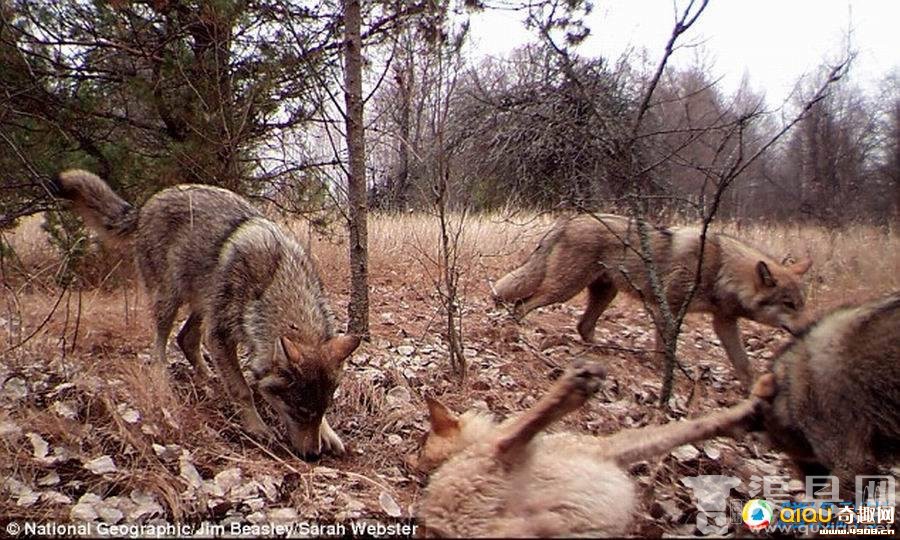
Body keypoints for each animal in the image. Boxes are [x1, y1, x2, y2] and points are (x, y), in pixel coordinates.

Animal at [51, 171, 358, 458]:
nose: (313, 455)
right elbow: (243, 390)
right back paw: (163, 380)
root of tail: (148, 202)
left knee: (185, 339)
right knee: (160, 346)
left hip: (204, 304)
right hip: (170, 300)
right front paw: (257, 428)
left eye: (321, 410)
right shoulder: (219, 335)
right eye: (299, 410)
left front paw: (329, 434)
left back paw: (209, 378)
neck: (277, 281)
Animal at [414, 358, 772, 536]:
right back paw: (577, 382)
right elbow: (678, 430)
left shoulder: (611, 448)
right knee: (510, 438)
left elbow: (686, 428)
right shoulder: (605, 446)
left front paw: (745, 414)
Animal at [496, 215, 812, 388]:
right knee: (523, 305)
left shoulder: (724, 322)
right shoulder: (668, 308)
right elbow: (665, 346)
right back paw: (518, 333)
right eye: (789, 305)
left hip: (603, 293)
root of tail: (569, 219)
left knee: (583, 325)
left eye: (802, 304)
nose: (809, 329)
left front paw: (754, 392)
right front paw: (663, 372)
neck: (721, 268)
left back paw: (605, 351)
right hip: (564, 289)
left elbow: (744, 364)